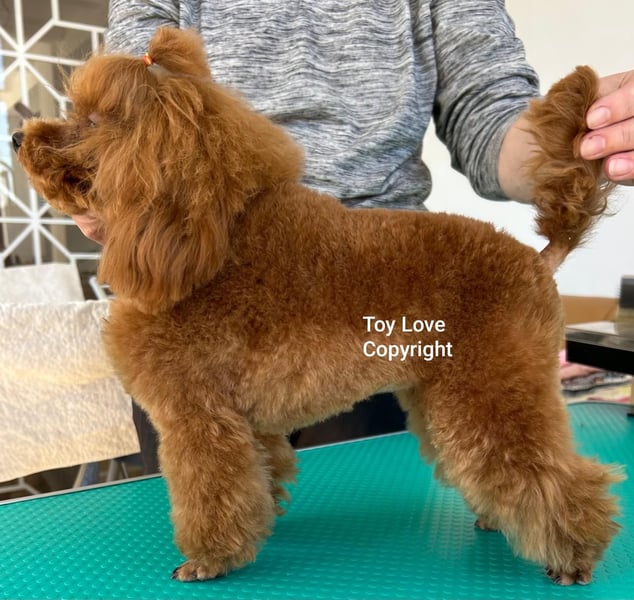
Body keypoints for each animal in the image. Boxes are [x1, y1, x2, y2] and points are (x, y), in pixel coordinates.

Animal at [13, 27, 621, 586]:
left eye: (94, 121)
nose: (18, 136)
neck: (204, 242)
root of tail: (538, 259)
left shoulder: (198, 415)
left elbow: (210, 489)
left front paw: (210, 558)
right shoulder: (246, 424)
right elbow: (259, 475)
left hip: (494, 382)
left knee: (549, 473)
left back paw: (574, 555)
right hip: (441, 391)